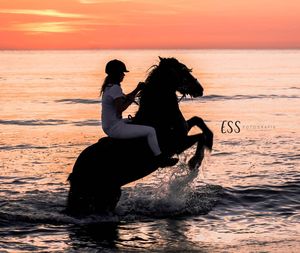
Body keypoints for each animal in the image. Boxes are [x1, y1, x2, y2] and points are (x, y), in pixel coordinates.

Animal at [67, 56, 213, 213]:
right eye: (183, 71)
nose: (200, 89)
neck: (158, 115)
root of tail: (75, 172)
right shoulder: (177, 144)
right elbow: (200, 136)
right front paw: (194, 162)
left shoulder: (183, 132)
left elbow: (198, 120)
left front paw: (209, 141)